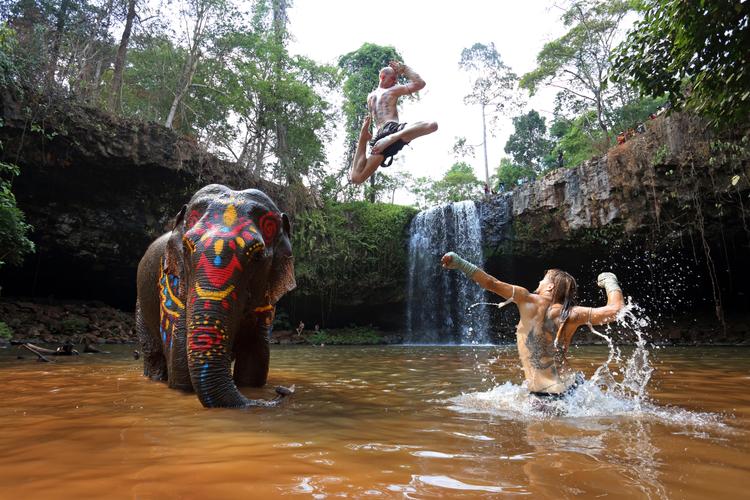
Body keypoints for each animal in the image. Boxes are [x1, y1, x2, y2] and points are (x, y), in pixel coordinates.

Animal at [135, 184, 296, 408]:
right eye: (186, 247)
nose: (283, 390)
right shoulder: (172, 284)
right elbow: (179, 362)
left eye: (257, 256)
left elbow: (256, 356)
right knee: (154, 357)